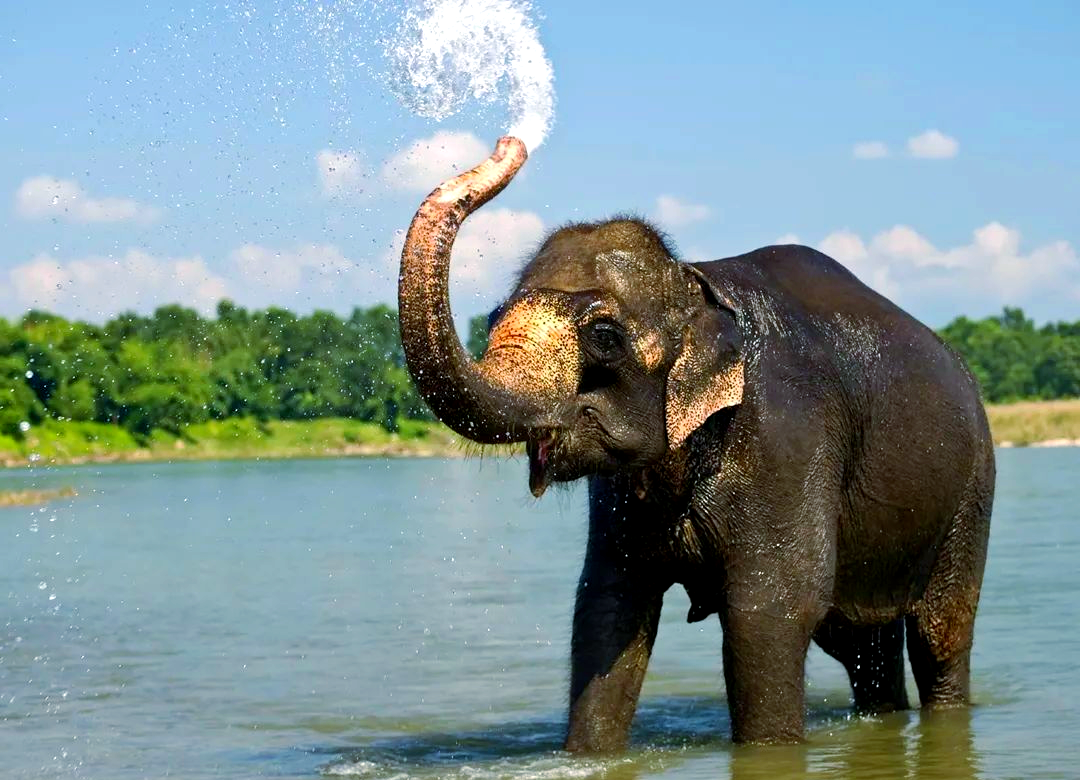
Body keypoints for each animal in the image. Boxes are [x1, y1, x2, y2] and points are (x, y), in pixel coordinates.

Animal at [397, 137, 994, 750]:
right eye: (493, 315)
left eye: (604, 337)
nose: (509, 143)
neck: (696, 284)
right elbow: (607, 606)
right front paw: (588, 755)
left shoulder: (787, 438)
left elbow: (769, 611)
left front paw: (769, 753)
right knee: (860, 644)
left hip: (972, 489)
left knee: (939, 633)